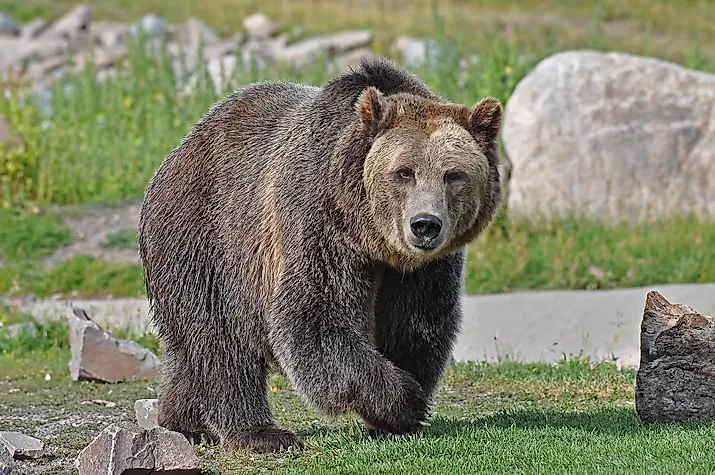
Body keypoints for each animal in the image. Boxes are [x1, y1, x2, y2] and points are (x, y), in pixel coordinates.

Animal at [137, 57, 503, 453]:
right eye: (404, 172)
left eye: (453, 175)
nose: (425, 225)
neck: (372, 237)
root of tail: (177, 153)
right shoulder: (321, 221)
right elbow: (316, 315)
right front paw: (404, 401)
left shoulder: (424, 269)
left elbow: (418, 321)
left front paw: (400, 408)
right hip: (206, 239)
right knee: (220, 340)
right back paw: (260, 432)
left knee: (188, 350)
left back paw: (184, 423)